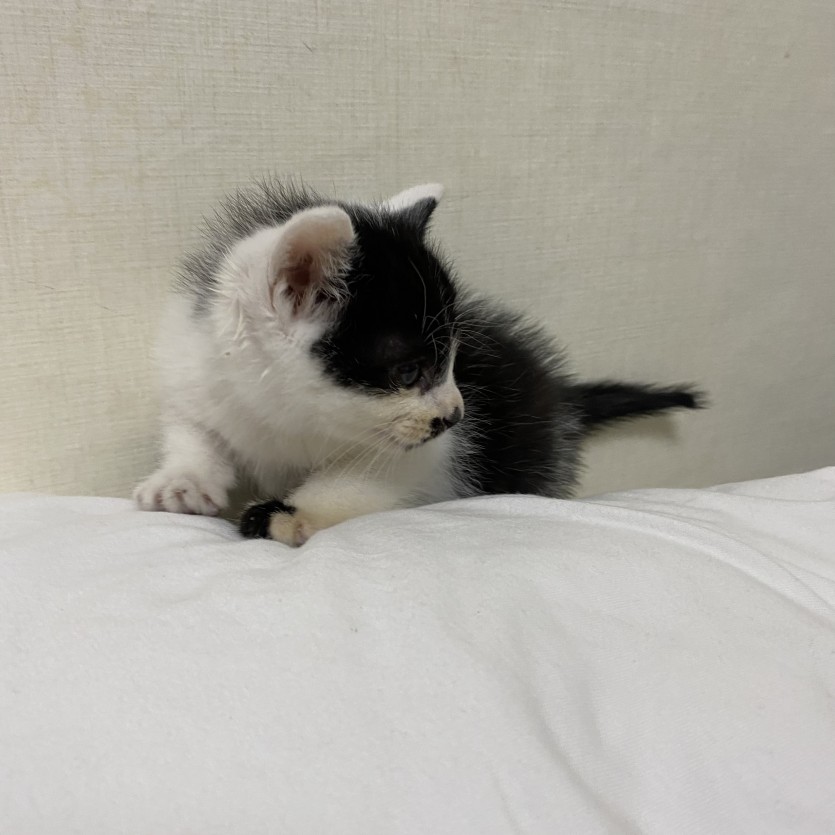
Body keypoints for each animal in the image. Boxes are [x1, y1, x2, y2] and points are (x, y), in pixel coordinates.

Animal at [134, 179, 702, 546]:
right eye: (408, 372)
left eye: (453, 361)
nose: (456, 414)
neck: (288, 418)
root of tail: (559, 395)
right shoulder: (199, 370)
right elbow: (194, 430)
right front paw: (182, 481)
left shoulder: (426, 456)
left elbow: (360, 479)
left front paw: (291, 514)